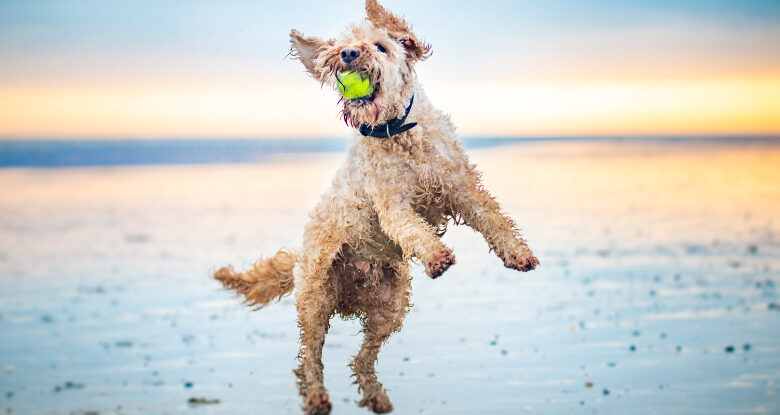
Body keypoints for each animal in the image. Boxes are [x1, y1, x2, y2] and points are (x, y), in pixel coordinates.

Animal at [216, 1, 540, 414]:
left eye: (381, 47)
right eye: (343, 47)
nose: (348, 54)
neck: (399, 132)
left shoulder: (462, 187)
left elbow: (493, 219)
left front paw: (518, 254)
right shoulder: (392, 205)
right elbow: (412, 228)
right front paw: (436, 255)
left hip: (391, 305)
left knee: (361, 359)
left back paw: (374, 395)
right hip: (315, 299)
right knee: (310, 360)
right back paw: (317, 396)